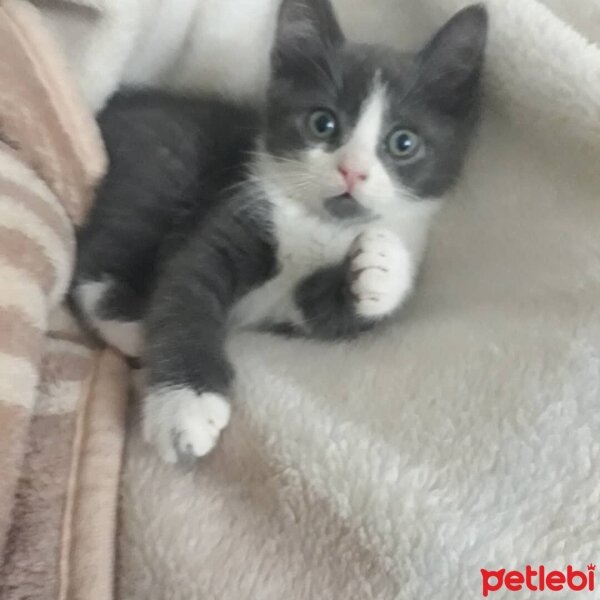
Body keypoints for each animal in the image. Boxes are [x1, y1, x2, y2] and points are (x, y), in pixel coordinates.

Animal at [70, 0, 488, 464]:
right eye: (322, 124)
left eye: (403, 143)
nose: (353, 170)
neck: (321, 224)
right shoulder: (235, 213)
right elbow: (187, 292)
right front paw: (184, 406)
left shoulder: (302, 314)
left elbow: (329, 315)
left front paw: (383, 267)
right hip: (162, 162)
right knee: (100, 257)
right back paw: (133, 325)